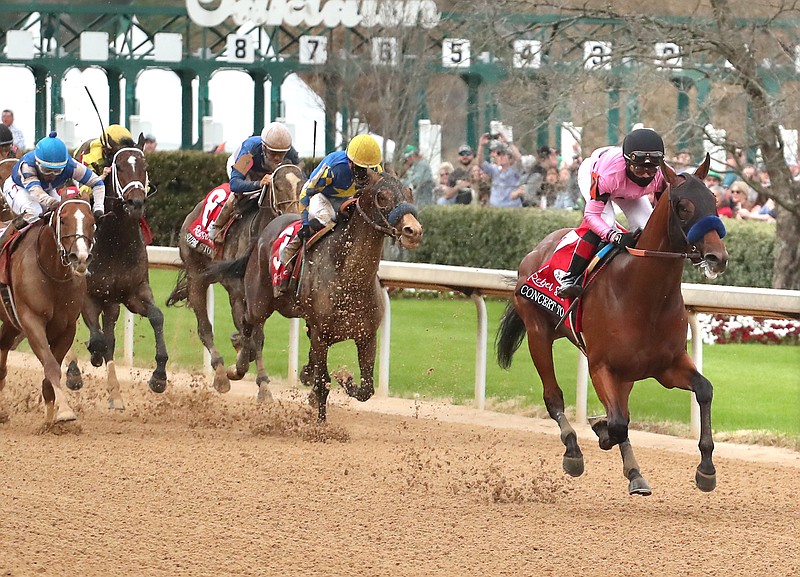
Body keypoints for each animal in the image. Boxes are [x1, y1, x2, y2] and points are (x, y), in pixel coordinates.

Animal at [0, 199, 94, 424]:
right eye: (64, 219)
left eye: (92, 221)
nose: (80, 257)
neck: (53, 273)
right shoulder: (31, 320)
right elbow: (50, 365)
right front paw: (65, 410)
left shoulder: (67, 327)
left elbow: (51, 373)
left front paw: (51, 420)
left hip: (10, 323)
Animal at [64, 134, 169, 410]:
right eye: (119, 167)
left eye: (144, 166)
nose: (136, 203)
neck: (115, 241)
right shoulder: (88, 296)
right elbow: (98, 340)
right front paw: (90, 357)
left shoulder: (134, 292)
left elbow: (156, 317)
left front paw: (159, 376)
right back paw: (75, 372)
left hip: (111, 302)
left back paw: (115, 393)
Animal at [166, 164, 304, 394]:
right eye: (277, 186)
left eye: (302, 185)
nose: (293, 216)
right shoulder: (240, 295)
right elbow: (254, 337)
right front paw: (243, 371)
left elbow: (254, 337)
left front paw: (240, 350)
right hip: (197, 276)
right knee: (205, 328)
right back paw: (221, 374)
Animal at [203, 171, 422, 418]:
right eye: (382, 196)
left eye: (409, 193)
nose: (413, 231)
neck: (349, 277)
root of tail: (262, 234)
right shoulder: (321, 335)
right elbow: (323, 382)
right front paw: (321, 421)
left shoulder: (366, 336)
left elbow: (366, 389)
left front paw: (343, 379)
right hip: (259, 301)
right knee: (251, 328)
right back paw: (239, 367)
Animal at [496, 158, 728, 496]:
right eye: (684, 207)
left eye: (713, 200)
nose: (717, 257)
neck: (643, 295)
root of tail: (538, 249)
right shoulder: (601, 366)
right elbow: (617, 423)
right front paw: (600, 430)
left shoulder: (667, 366)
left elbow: (704, 390)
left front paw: (706, 469)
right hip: (538, 332)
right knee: (554, 396)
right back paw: (573, 450)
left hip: (627, 373)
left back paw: (635, 473)